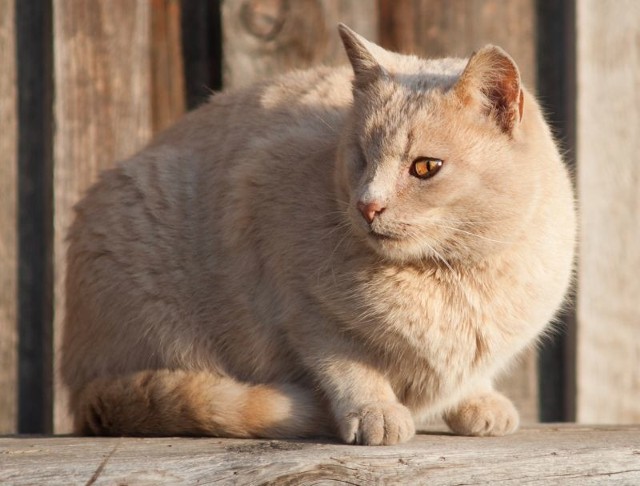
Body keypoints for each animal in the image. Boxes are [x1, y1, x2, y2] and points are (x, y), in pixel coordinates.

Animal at [62, 24, 576, 446]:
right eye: (361, 157)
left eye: (425, 168)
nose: (367, 204)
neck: (450, 275)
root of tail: (80, 387)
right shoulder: (298, 298)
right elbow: (347, 362)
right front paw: (376, 411)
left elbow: (469, 377)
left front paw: (478, 401)